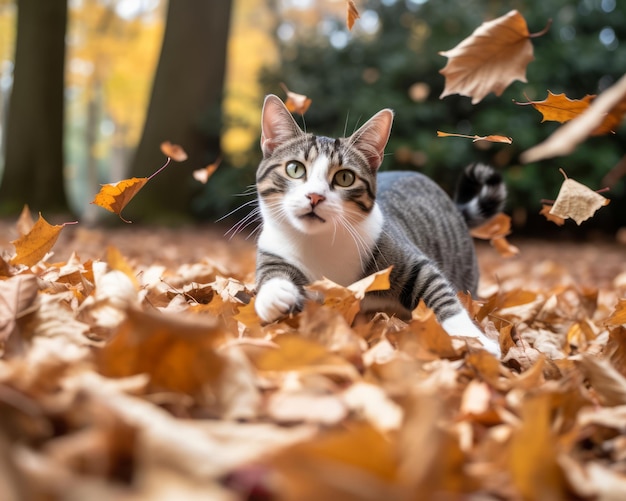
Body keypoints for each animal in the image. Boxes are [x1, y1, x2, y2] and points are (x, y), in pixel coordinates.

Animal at [252, 94, 502, 356]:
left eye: (344, 177)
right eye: (295, 168)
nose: (315, 196)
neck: (321, 242)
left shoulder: (404, 257)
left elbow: (439, 291)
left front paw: (475, 339)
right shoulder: (272, 247)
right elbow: (270, 271)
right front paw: (274, 295)